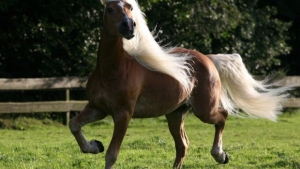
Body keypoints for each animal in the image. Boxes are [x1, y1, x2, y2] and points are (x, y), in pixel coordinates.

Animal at [69, 0, 290, 168]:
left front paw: (98, 147)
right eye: (109, 9)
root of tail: (208, 59)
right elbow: (74, 125)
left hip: (204, 110)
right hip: (175, 114)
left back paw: (220, 154)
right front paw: (94, 145)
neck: (112, 71)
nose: (129, 26)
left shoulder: (123, 114)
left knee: (222, 116)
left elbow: (112, 154)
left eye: (130, 7)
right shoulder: (98, 108)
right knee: (183, 145)